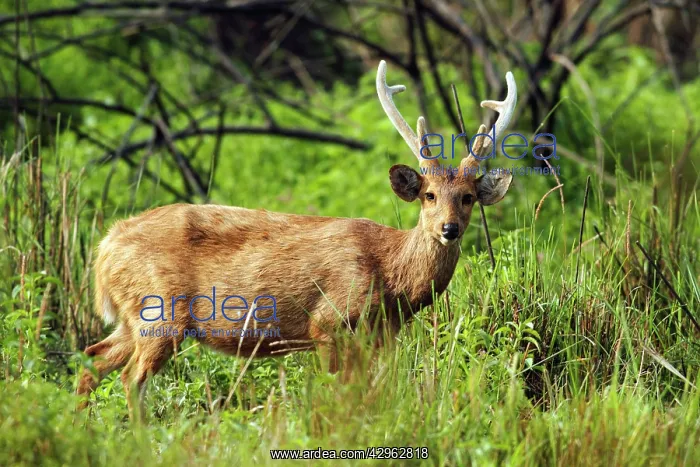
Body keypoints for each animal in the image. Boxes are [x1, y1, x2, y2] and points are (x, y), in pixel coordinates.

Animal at [77, 60, 516, 419]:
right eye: (429, 195)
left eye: (468, 197)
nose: (449, 229)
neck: (391, 274)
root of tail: (106, 245)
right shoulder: (328, 321)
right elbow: (339, 392)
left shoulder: (382, 335)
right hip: (160, 310)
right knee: (130, 378)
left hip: (134, 315)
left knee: (92, 359)